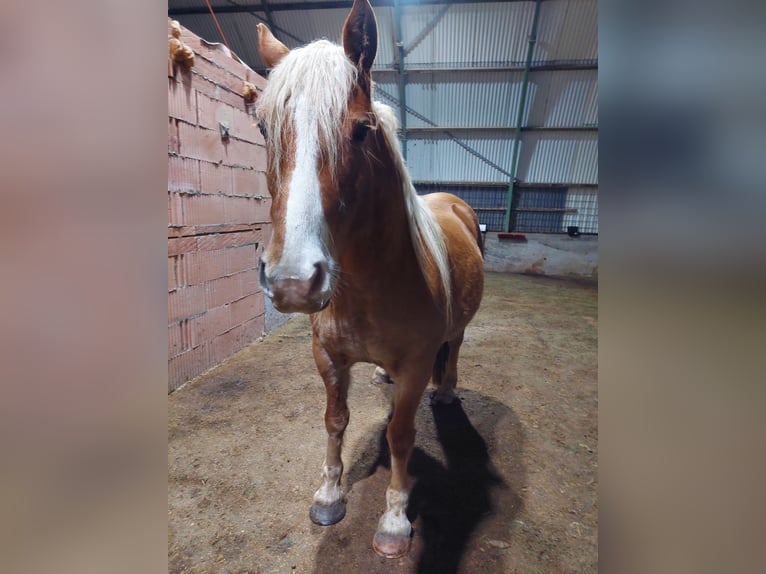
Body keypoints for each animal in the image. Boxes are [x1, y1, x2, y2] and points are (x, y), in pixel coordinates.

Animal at [258, 0, 486, 560]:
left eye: (360, 129)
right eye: (264, 128)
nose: (293, 281)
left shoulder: (416, 366)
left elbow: (401, 436)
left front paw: (395, 522)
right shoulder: (328, 359)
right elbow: (334, 421)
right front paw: (328, 495)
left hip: (454, 334)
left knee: (455, 346)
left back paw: (447, 392)